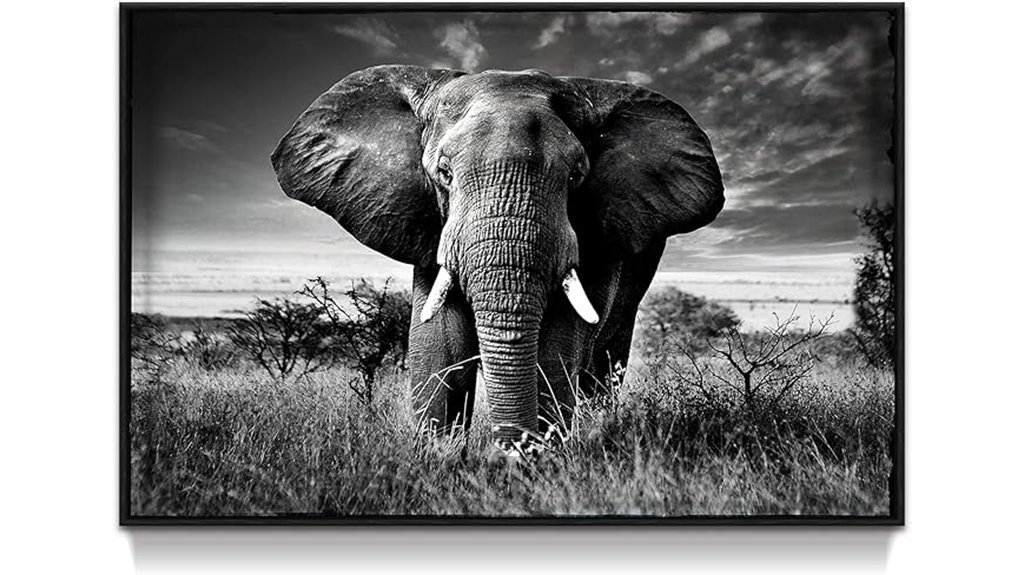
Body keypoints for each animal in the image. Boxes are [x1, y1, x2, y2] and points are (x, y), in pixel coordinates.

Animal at [271, 65, 724, 450]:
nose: (506, 453)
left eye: (576, 176)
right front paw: (441, 460)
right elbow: (439, 344)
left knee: (605, 360)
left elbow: (559, 345)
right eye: (444, 174)